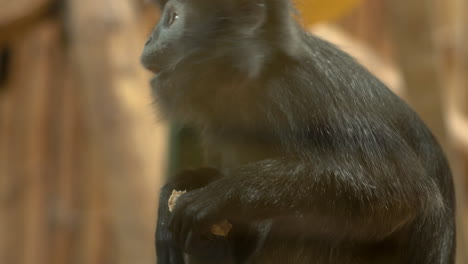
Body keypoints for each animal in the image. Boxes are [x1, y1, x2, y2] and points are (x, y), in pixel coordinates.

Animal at [141, 0, 456, 262]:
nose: (148, 41)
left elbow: (403, 192)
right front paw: (180, 190)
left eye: (172, 18)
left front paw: (220, 196)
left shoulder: (297, 89)